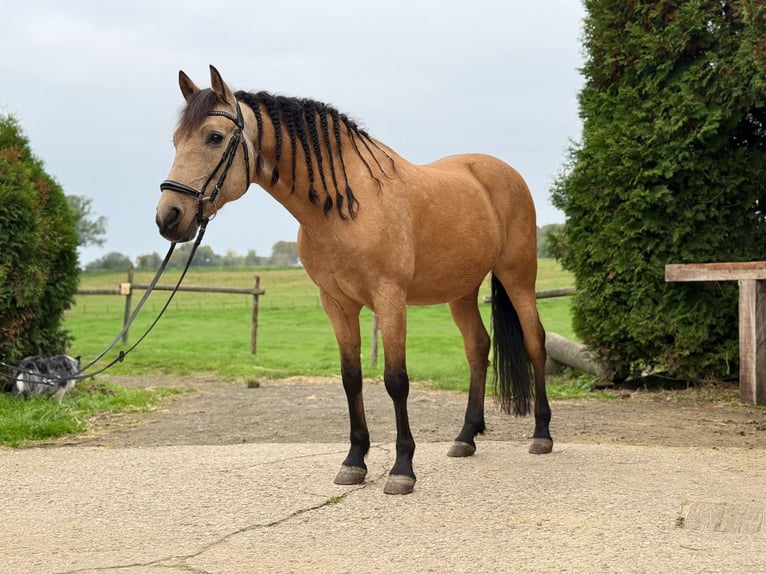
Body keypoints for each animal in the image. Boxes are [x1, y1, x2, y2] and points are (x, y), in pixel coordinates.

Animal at [156, 66, 553, 495]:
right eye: (176, 141)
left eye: (214, 137)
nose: (168, 217)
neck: (345, 207)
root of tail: (501, 171)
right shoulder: (337, 304)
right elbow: (351, 378)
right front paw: (353, 462)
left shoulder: (389, 299)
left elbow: (396, 380)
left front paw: (401, 469)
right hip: (460, 291)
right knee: (478, 348)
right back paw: (465, 437)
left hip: (518, 277)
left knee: (535, 342)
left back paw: (541, 435)